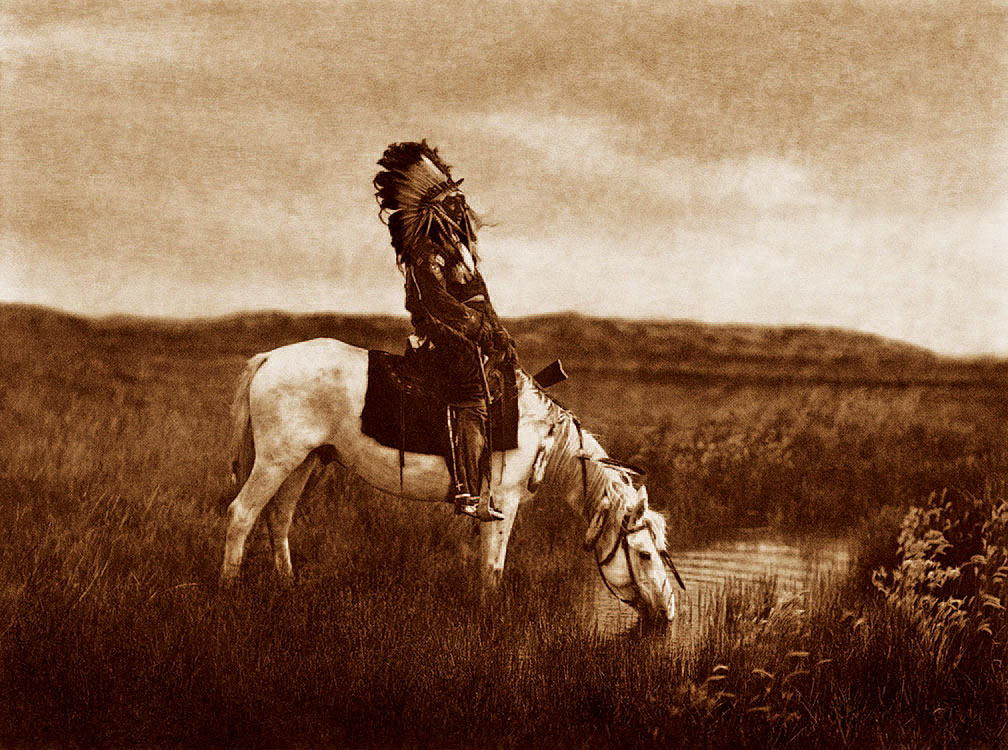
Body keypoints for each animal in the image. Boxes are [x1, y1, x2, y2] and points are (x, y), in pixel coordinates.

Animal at [219, 338, 677, 620]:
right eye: (645, 555)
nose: (669, 611)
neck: (540, 433)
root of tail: (270, 358)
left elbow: (484, 563)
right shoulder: (503, 503)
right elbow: (493, 567)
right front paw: (489, 618)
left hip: (303, 461)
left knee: (278, 519)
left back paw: (288, 587)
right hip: (276, 460)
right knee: (242, 514)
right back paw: (229, 590)